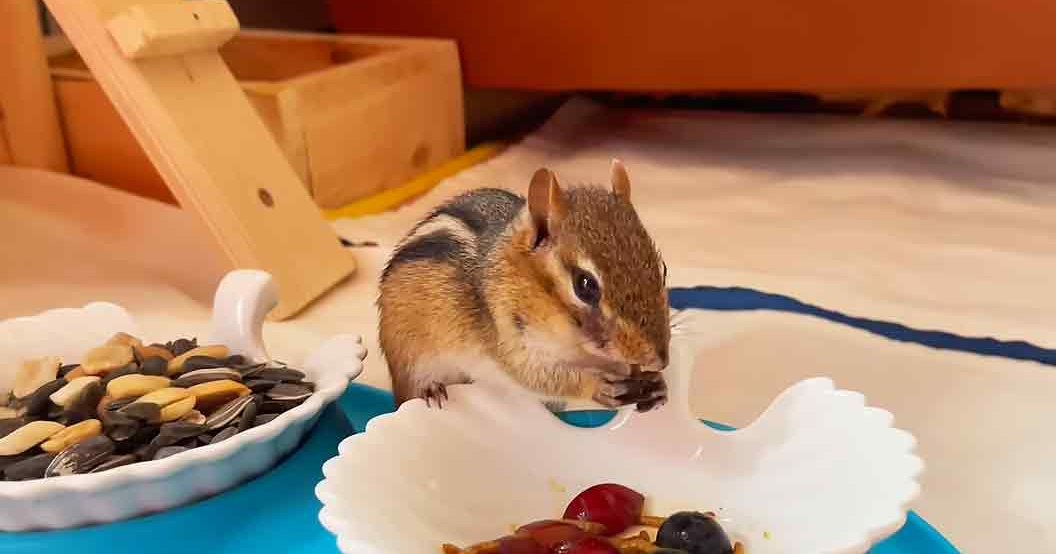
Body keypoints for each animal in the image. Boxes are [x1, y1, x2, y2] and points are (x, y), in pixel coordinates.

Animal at [377, 160, 670, 412]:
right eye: (585, 285)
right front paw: (596, 386)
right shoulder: (507, 335)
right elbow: (537, 377)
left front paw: (657, 383)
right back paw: (431, 389)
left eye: (663, 268)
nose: (660, 360)